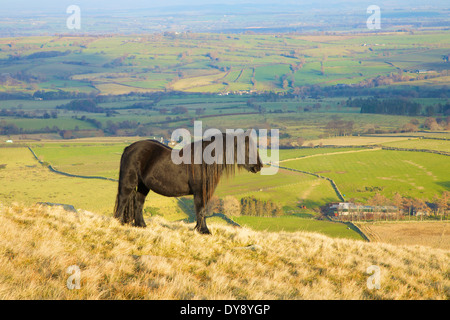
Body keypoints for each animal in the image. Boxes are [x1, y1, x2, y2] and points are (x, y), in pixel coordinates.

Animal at [113, 131, 264, 234]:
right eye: (247, 148)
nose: (259, 166)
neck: (204, 162)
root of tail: (129, 148)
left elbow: (202, 209)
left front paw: (200, 229)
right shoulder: (199, 192)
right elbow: (201, 209)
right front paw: (204, 230)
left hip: (143, 186)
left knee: (139, 202)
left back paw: (141, 225)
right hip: (129, 182)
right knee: (123, 199)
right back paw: (117, 223)